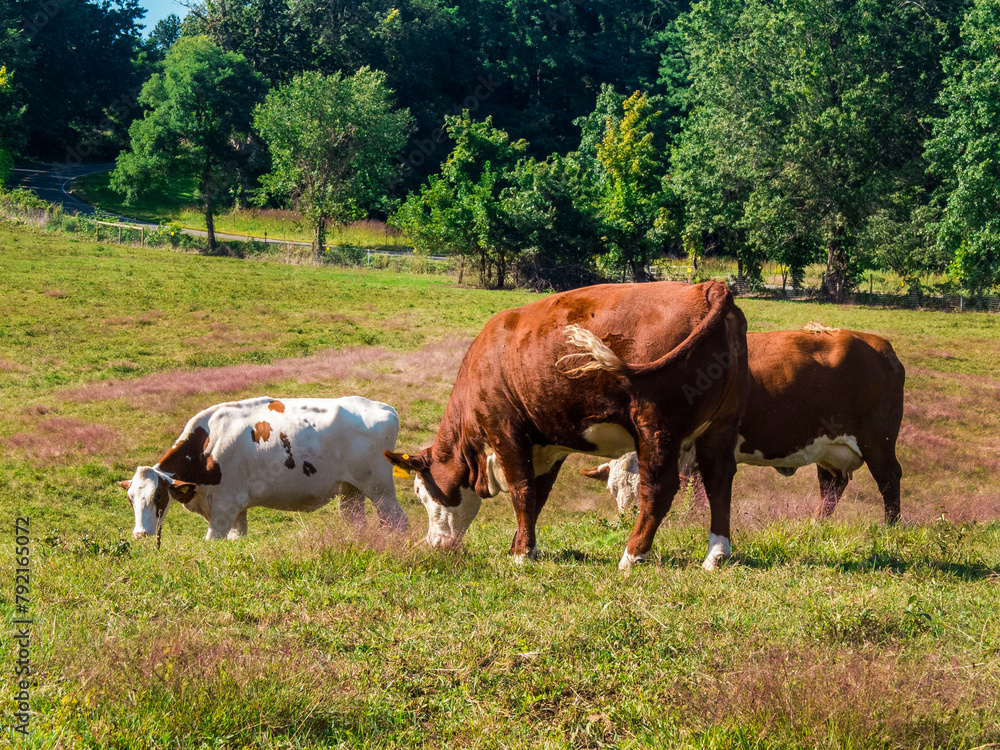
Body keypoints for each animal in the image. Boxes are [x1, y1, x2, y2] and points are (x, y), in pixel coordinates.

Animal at [119, 396, 408, 544]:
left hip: (379, 488)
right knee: (356, 521)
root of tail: (385, 408)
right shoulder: (237, 508)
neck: (207, 445)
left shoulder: (225, 506)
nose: (140, 534)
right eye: (131, 498)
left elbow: (212, 540)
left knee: (397, 520)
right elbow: (237, 539)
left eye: (158, 496)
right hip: (351, 490)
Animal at [386, 280, 748, 568]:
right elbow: (538, 496)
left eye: (419, 492)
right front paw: (521, 546)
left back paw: (632, 555)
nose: (434, 545)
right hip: (720, 427)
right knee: (719, 483)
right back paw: (715, 555)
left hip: (656, 426)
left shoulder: (504, 429)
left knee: (659, 489)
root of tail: (706, 287)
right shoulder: (549, 444)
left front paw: (522, 554)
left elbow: (522, 490)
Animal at [580, 326, 908, 524]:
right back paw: (817, 526)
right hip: (829, 449)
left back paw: (889, 529)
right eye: (613, 489)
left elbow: (698, 493)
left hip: (877, 442)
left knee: (889, 480)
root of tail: (879, 345)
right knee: (831, 488)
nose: (629, 517)